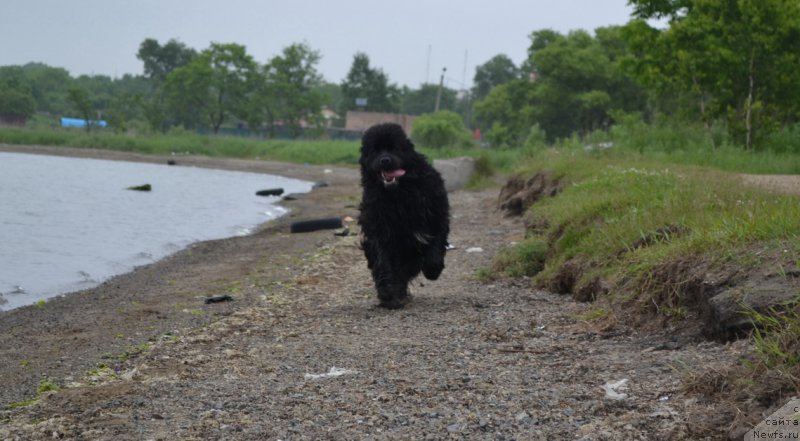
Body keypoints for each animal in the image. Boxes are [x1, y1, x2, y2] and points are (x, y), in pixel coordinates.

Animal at [358, 123, 450, 310]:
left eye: (394, 148)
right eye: (375, 151)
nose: (385, 160)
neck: (398, 193)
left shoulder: (437, 215)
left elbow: (436, 245)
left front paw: (433, 269)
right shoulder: (379, 229)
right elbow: (384, 261)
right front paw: (387, 292)